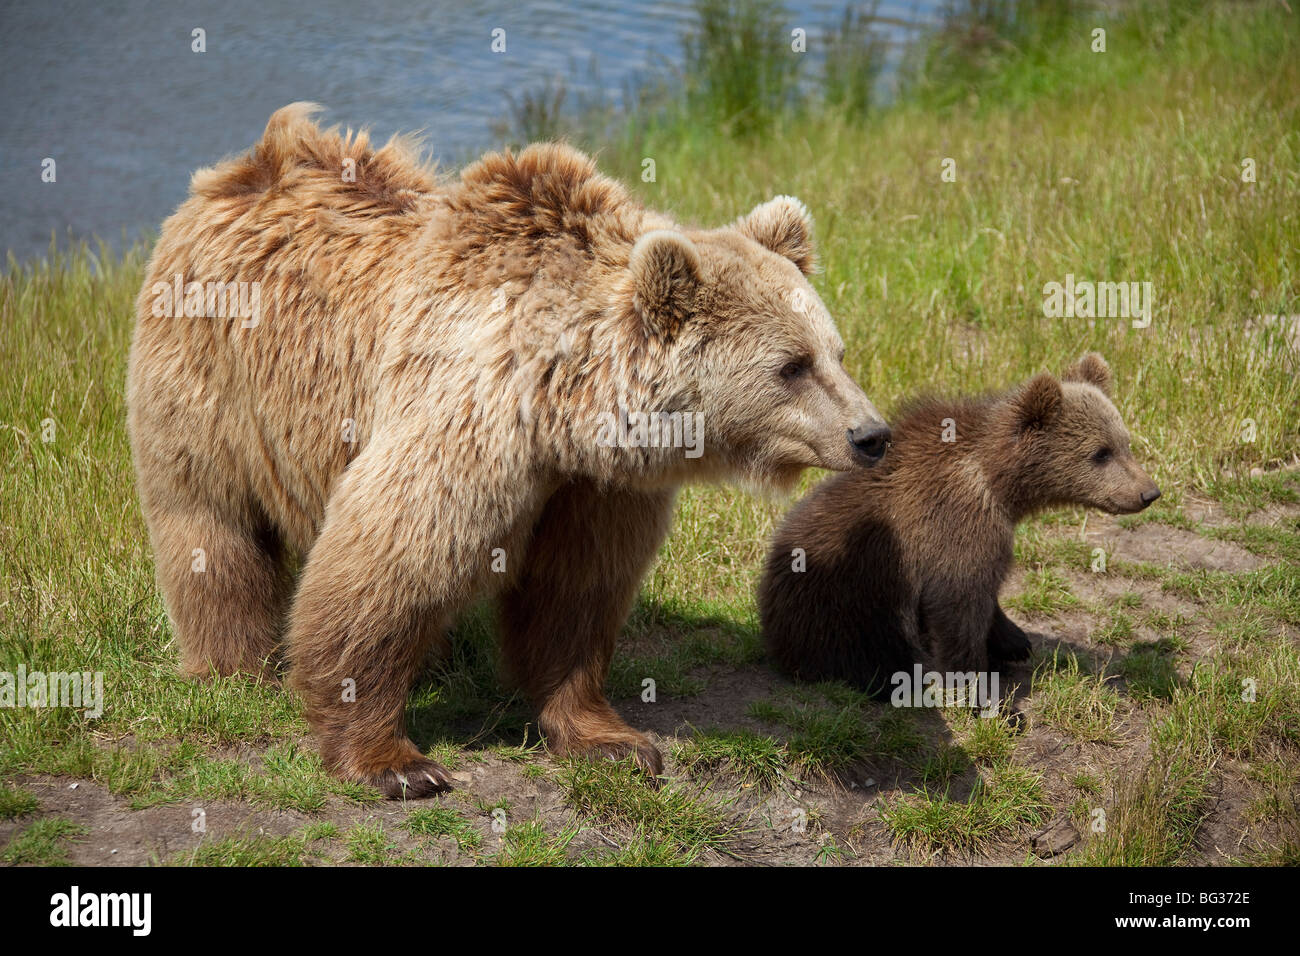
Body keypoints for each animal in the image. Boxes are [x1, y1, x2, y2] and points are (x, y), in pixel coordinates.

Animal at [126, 103, 890, 798]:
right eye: (791, 366)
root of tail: (244, 167)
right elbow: (388, 562)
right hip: (211, 383)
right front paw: (396, 763)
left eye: (836, 352)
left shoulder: (593, 488)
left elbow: (573, 593)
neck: (562, 408)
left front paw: (611, 740)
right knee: (212, 529)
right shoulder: (466, 422)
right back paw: (237, 666)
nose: (872, 434)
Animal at [758, 353, 1160, 698]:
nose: (1149, 492)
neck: (999, 482)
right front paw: (991, 699)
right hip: (847, 598)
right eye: (1100, 453)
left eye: (1125, 443)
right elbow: (959, 606)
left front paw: (1014, 640)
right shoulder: (955, 522)